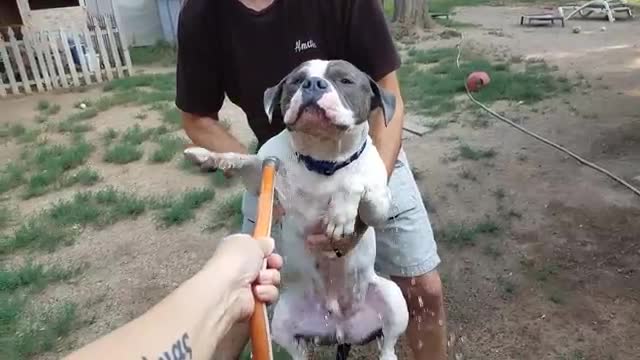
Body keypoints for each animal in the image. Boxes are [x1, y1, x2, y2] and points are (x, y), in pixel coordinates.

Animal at [182, 59, 408, 360]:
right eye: (296, 80)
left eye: (345, 80)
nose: (313, 84)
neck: (322, 159)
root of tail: (340, 327)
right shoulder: (261, 174)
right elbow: (240, 159)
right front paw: (206, 155)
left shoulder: (378, 207)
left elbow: (354, 183)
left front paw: (341, 214)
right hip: (282, 317)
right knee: (297, 350)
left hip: (392, 297)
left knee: (389, 345)